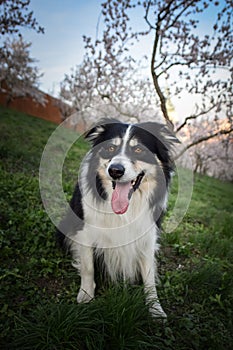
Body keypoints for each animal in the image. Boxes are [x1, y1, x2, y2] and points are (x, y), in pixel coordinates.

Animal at [56, 119, 177, 318]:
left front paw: (155, 309)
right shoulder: (85, 231)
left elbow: (149, 276)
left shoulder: (147, 236)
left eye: (138, 150)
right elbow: (88, 266)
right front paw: (86, 294)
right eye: (110, 148)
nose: (115, 171)